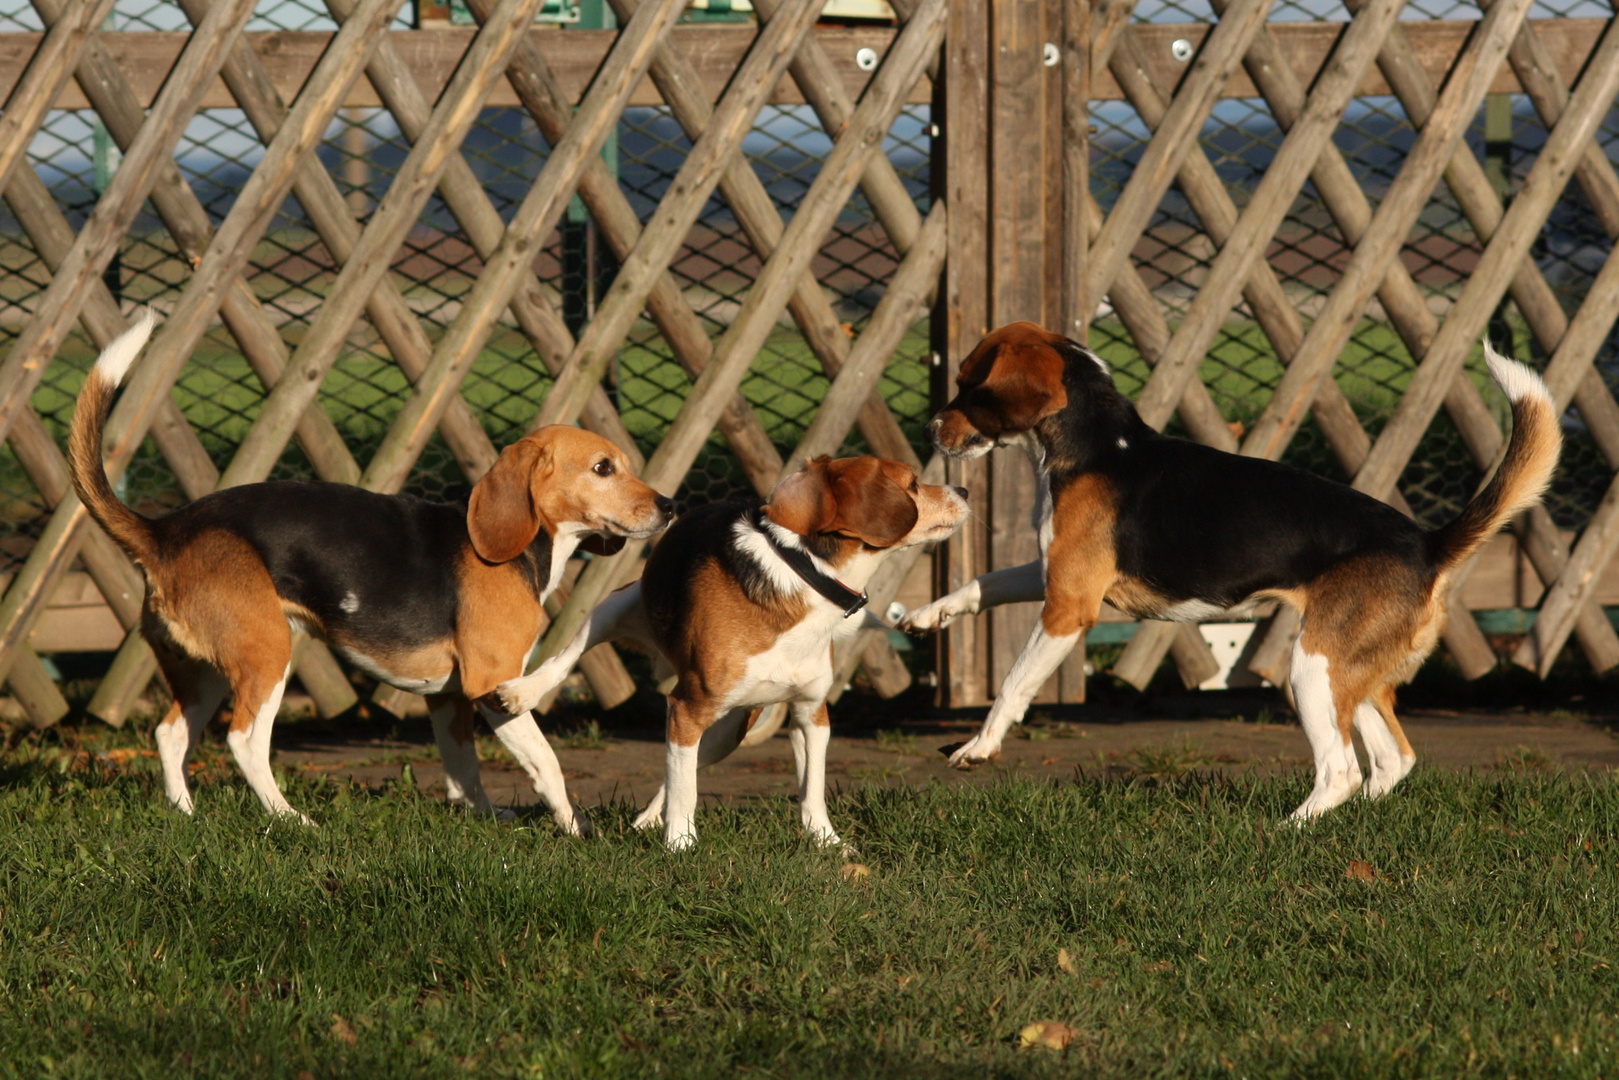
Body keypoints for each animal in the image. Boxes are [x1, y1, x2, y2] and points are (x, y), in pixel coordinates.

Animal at [66, 307, 673, 835]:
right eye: (603, 468)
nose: (670, 506)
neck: (528, 548)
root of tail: (166, 530)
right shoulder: (492, 685)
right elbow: (546, 761)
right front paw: (573, 826)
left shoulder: (450, 697)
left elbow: (463, 766)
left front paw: (483, 814)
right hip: (268, 654)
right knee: (245, 742)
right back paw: (292, 819)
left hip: (207, 670)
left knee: (170, 734)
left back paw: (186, 815)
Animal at [492, 453, 964, 848]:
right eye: (914, 483)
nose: (963, 489)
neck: (807, 573)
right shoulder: (686, 708)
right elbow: (686, 791)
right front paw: (681, 846)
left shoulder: (812, 714)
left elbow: (811, 788)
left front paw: (826, 843)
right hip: (613, 610)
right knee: (565, 660)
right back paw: (522, 692)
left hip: (727, 732)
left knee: (682, 769)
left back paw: (648, 819)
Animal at [906, 320, 1560, 819]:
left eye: (969, 387)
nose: (929, 430)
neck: (1098, 445)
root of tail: (1426, 543)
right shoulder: (1052, 572)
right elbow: (981, 584)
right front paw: (926, 615)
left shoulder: (1069, 607)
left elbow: (1013, 683)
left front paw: (980, 746)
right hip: (1353, 676)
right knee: (1392, 760)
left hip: (1309, 669)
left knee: (1341, 769)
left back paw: (1288, 829)